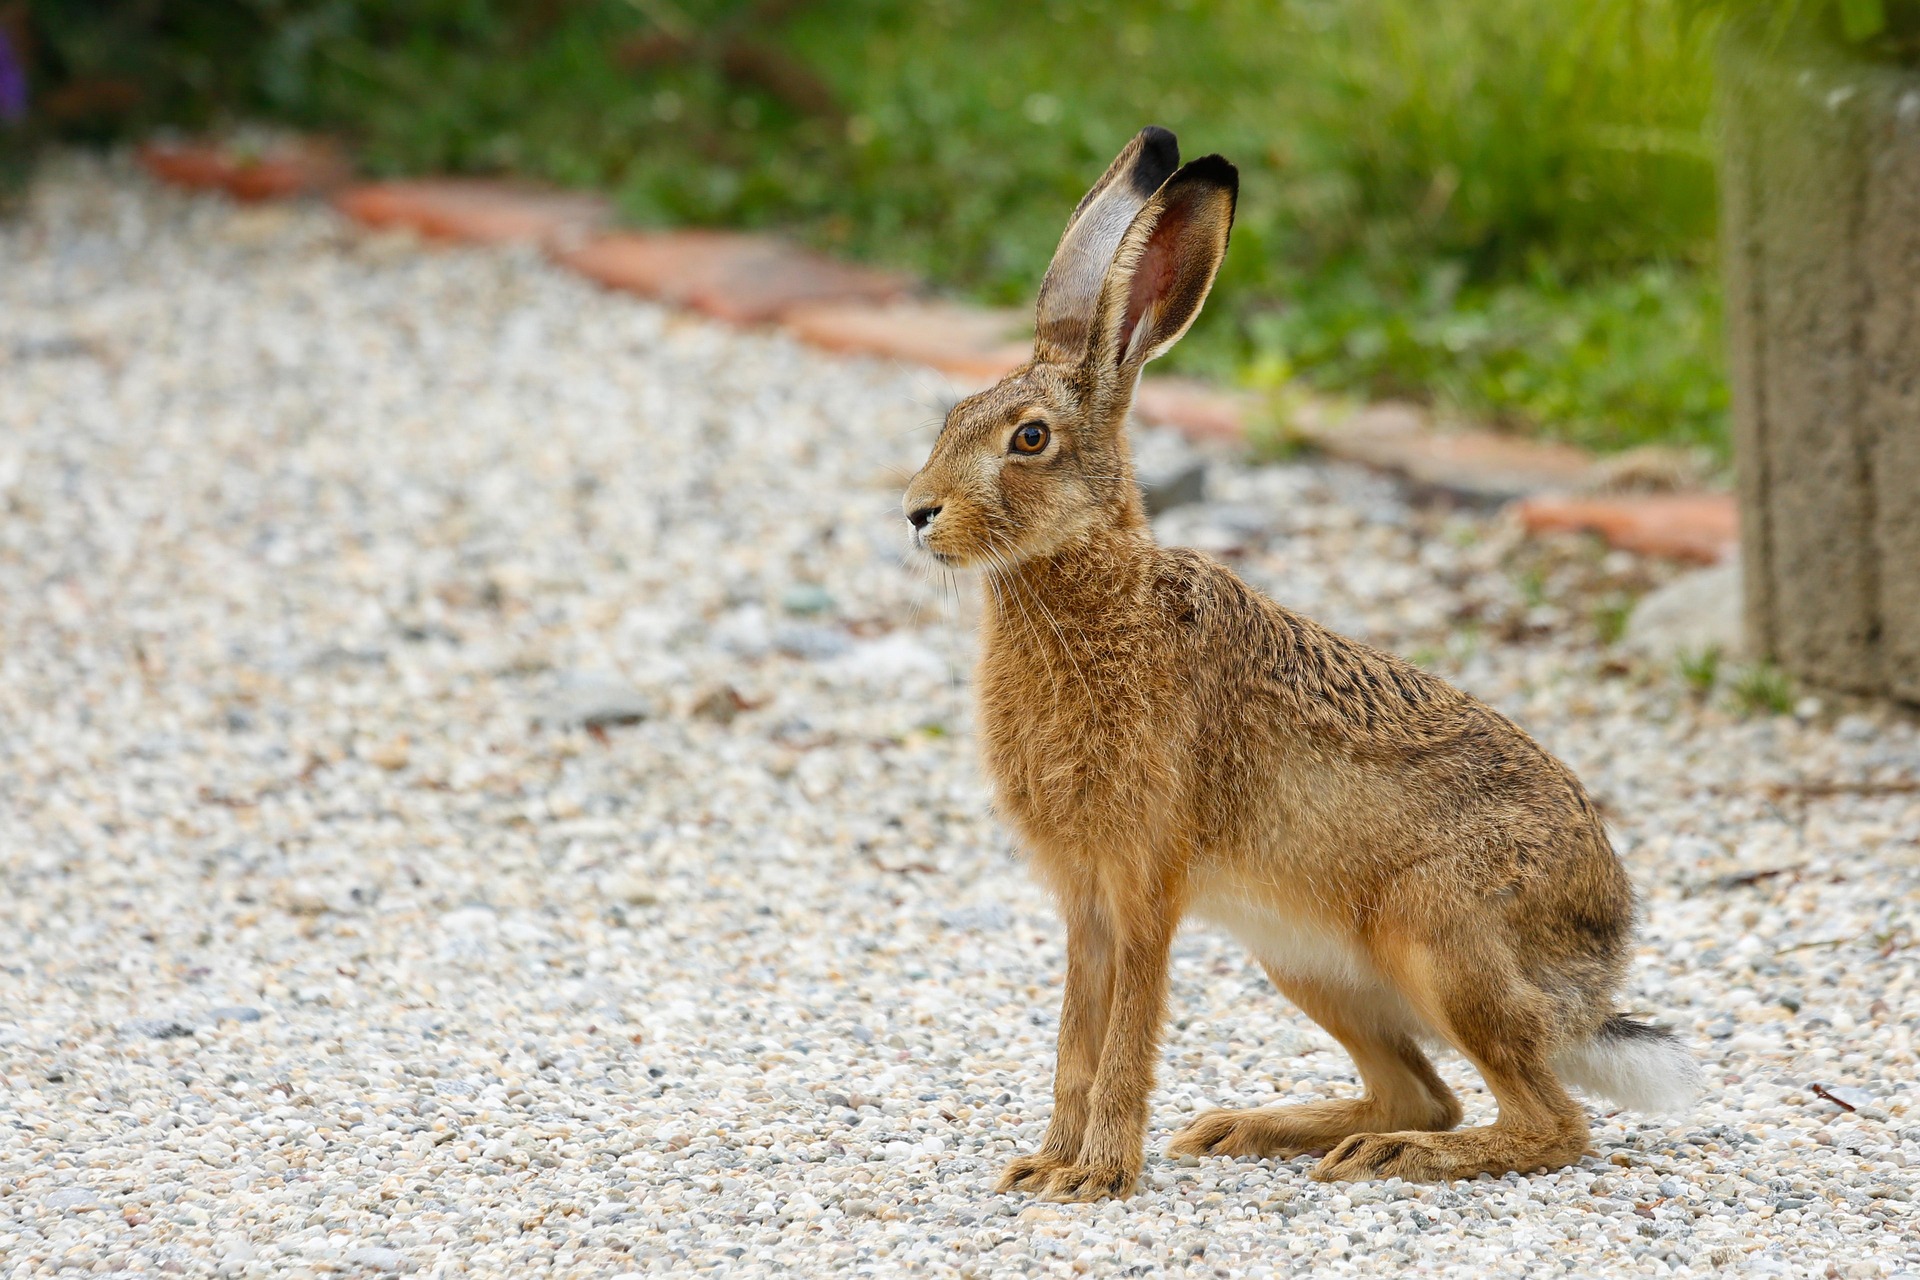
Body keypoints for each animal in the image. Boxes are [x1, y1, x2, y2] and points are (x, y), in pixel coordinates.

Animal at [900, 126, 1700, 1203]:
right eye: (954, 417)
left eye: (1030, 439)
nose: (918, 512)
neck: (1091, 586)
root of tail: (1595, 968)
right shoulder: (1085, 902)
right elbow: (1076, 1037)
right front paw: (1046, 1162)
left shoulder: (1144, 882)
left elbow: (1124, 1038)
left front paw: (1098, 1174)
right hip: (1306, 961)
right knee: (1423, 1091)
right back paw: (1262, 1128)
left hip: (1438, 938)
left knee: (1548, 1121)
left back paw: (1396, 1157)